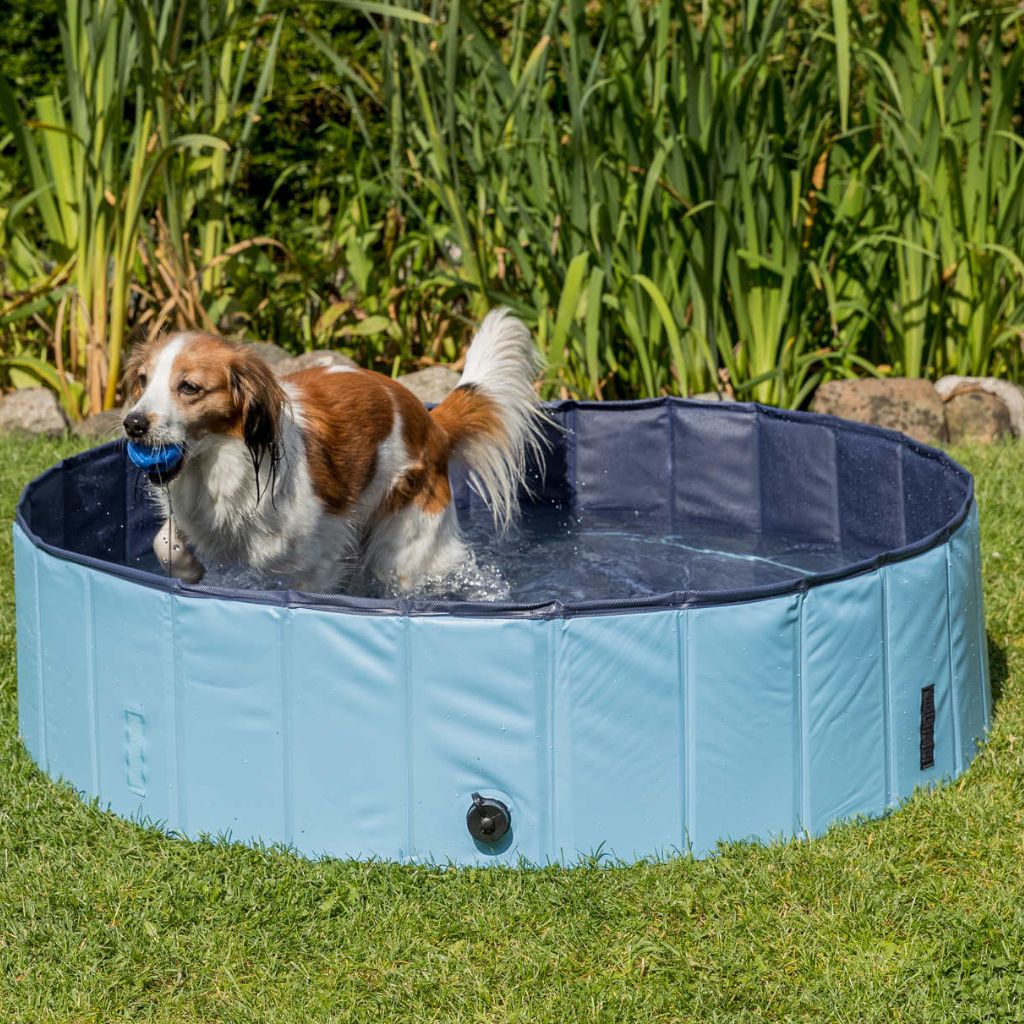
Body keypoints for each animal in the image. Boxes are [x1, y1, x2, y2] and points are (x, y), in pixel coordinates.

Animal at [119, 307, 544, 593]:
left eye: (189, 387)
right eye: (143, 380)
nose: (133, 424)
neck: (219, 463)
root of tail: (432, 422)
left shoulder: (316, 565)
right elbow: (163, 541)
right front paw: (188, 569)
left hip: (404, 546)